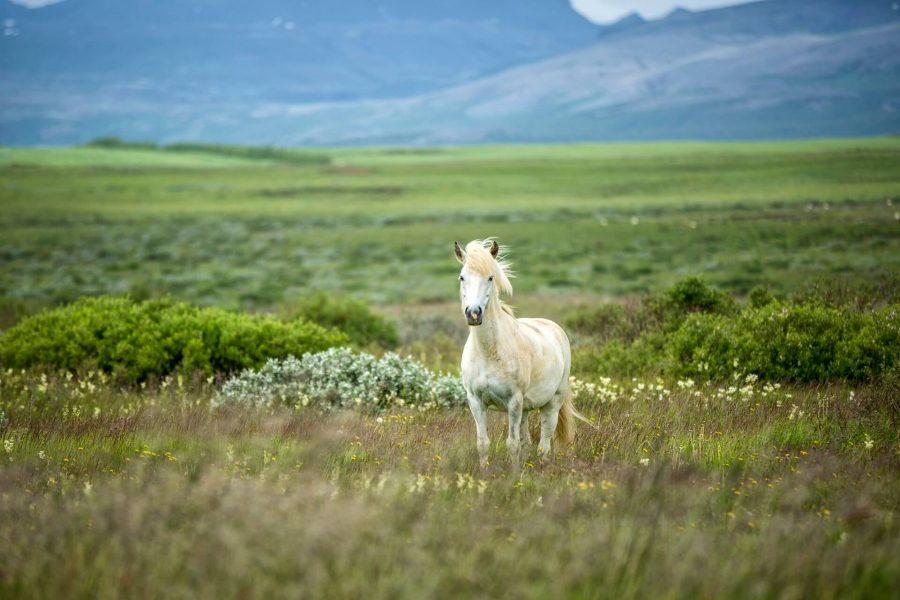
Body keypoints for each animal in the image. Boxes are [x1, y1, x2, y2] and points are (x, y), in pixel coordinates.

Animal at [454, 239, 589, 471]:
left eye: (490, 277)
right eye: (462, 276)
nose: (473, 313)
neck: (489, 351)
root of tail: (554, 327)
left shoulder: (513, 402)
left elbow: (512, 444)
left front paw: (514, 477)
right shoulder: (476, 402)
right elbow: (483, 443)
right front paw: (485, 474)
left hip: (551, 403)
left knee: (544, 444)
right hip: (525, 409)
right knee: (528, 443)